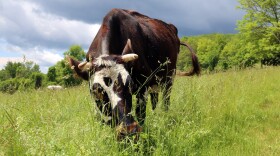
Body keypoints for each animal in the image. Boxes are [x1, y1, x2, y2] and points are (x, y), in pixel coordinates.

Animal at [67, 8, 199, 140]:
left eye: (130, 84)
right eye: (96, 91)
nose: (128, 130)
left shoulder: (143, 86)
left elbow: (140, 114)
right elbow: (102, 118)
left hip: (169, 78)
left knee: (166, 101)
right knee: (155, 101)